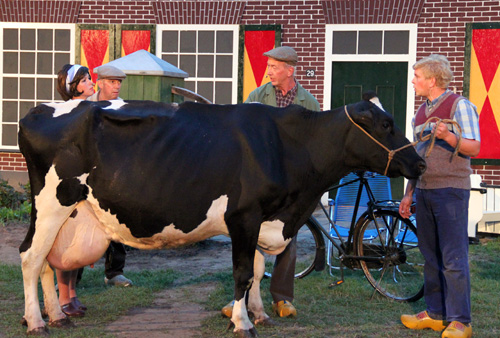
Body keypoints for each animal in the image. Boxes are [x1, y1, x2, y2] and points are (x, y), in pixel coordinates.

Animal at [18, 94, 426, 336]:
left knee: (48, 261)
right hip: (52, 203)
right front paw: (243, 322)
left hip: (66, 212)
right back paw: (37, 322)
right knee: (31, 257)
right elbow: (243, 272)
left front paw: (258, 313)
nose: (420, 163)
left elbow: (258, 271)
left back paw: (56, 315)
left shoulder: (264, 219)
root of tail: (40, 108)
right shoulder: (244, 216)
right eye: (386, 125)